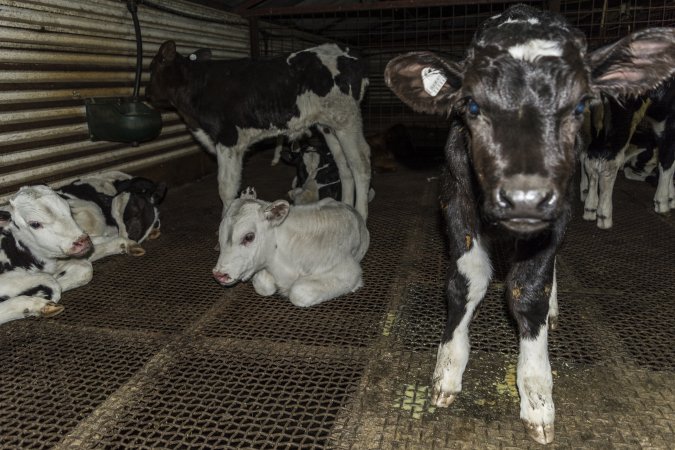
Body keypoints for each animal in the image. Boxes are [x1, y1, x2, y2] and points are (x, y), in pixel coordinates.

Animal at [145, 41, 372, 221]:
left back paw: (360, 214)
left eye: (152, 67)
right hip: (329, 126)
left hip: (347, 120)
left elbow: (226, 188)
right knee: (344, 166)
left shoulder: (228, 140)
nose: (146, 94)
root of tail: (348, 51)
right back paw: (346, 207)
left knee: (360, 164)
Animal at [386, 4, 675, 446]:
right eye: (472, 106)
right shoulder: (455, 198)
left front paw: (537, 392)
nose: (524, 196)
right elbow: (466, 281)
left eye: (579, 106)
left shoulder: (556, 212)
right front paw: (448, 368)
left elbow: (529, 290)